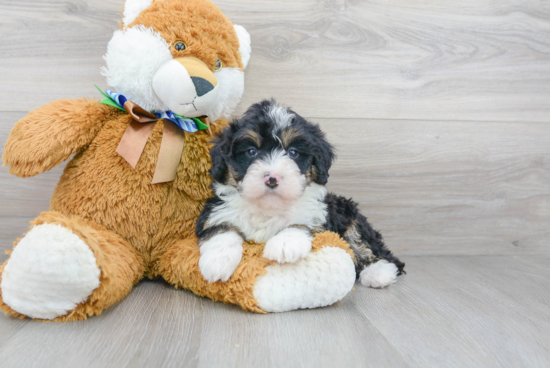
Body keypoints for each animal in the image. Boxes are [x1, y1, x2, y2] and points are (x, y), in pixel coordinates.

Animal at [197, 100, 406, 288]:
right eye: (251, 151)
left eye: (293, 153)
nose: (272, 178)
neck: (268, 207)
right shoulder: (215, 211)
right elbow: (221, 227)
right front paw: (216, 261)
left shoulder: (322, 215)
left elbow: (303, 222)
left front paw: (284, 243)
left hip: (348, 212)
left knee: (366, 243)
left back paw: (379, 272)